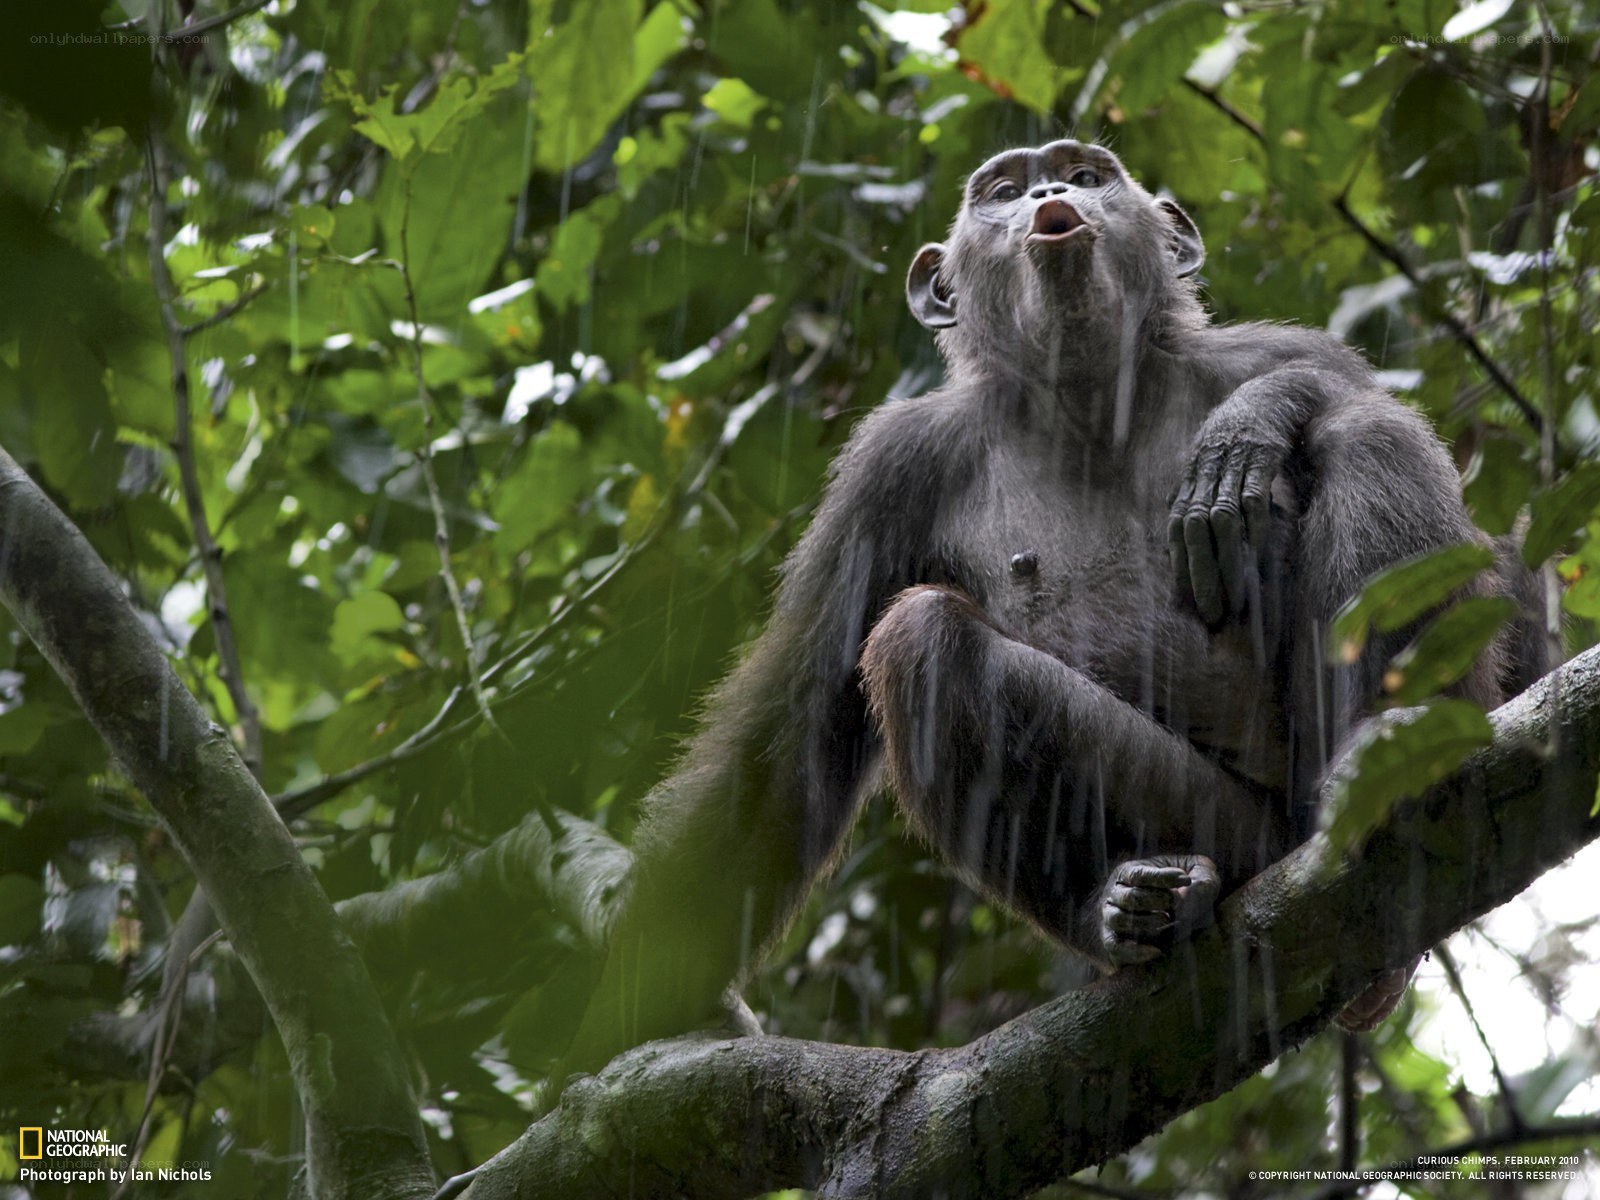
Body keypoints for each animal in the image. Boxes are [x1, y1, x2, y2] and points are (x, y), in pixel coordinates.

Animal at [559, 140, 1525, 1079]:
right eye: (1000, 190)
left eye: (1088, 173)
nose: (1050, 193)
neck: (1089, 393)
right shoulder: (888, 471)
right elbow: (794, 723)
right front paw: (636, 993)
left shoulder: (1281, 347)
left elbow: (1344, 397)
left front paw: (1250, 426)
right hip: (1230, 831)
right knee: (924, 642)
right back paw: (1130, 908)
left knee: (1367, 433)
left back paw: (1383, 750)